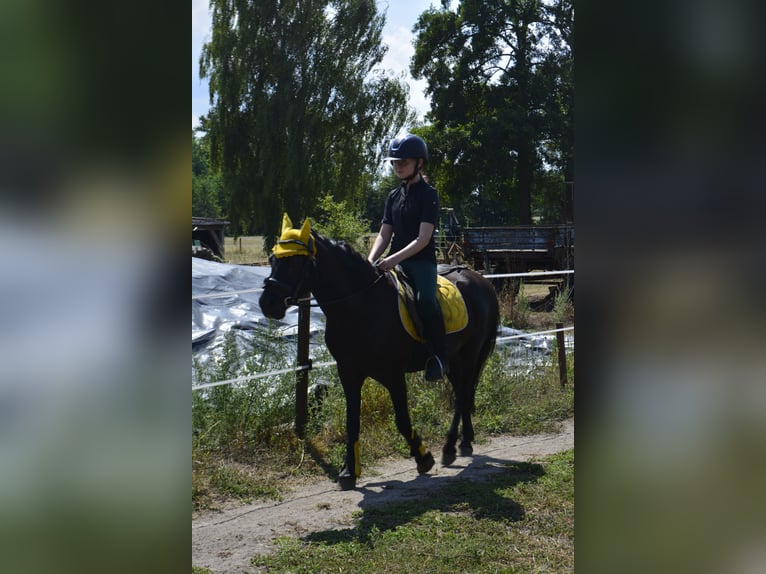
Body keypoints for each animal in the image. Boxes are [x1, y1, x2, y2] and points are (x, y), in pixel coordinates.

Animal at [259, 214, 499, 490]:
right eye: (273, 259)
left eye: (296, 262)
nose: (268, 303)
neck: (360, 305)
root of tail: (481, 280)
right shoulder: (348, 372)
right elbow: (352, 421)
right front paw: (349, 472)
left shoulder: (393, 374)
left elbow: (402, 420)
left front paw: (424, 458)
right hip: (453, 359)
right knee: (462, 391)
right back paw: (465, 442)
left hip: (469, 354)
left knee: (462, 395)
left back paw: (449, 448)